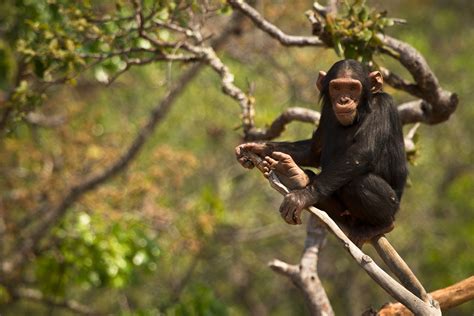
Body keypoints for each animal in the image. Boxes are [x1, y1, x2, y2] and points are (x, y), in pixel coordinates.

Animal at [236, 59, 408, 247]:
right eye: (337, 88)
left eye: (353, 88)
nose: (344, 100)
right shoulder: (327, 110)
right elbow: (314, 151)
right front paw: (257, 148)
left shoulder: (382, 106)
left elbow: (362, 152)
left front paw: (303, 196)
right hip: (341, 214)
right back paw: (294, 174)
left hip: (392, 205)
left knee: (358, 183)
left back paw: (382, 225)